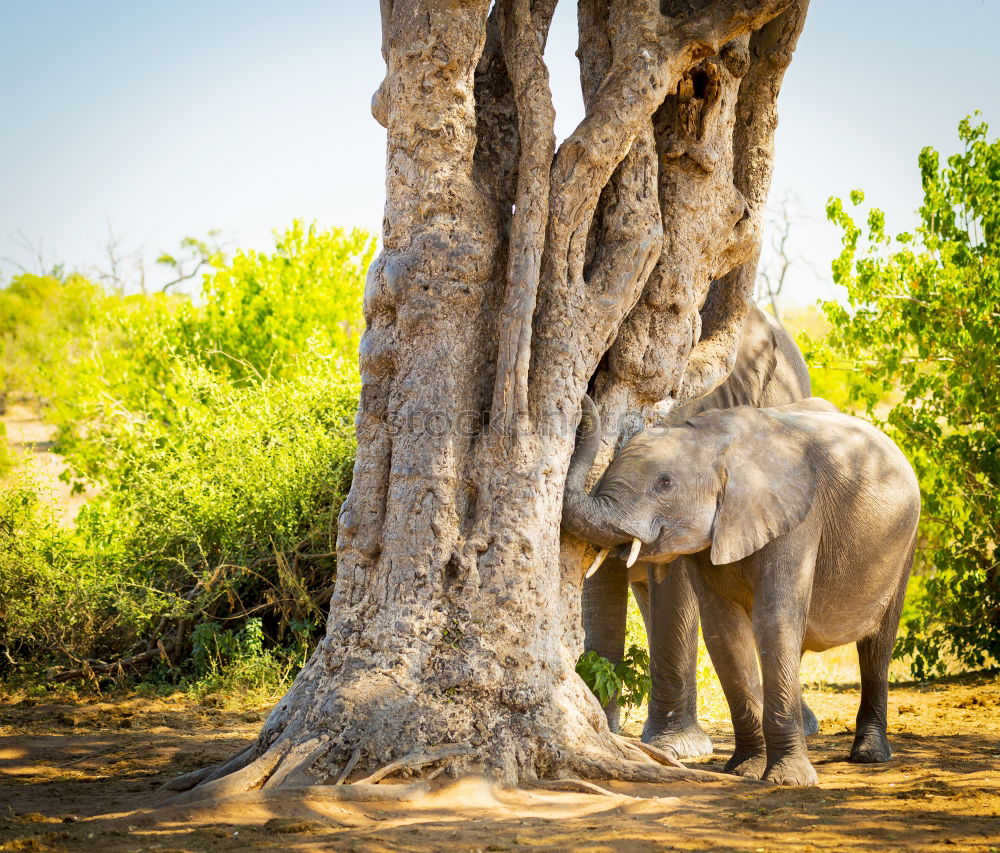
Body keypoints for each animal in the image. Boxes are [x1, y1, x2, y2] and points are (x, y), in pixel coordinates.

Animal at [564, 398, 920, 784]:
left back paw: (870, 755)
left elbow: (774, 620)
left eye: (664, 484)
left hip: (904, 543)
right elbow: (724, 632)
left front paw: (787, 781)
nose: (585, 403)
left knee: (877, 646)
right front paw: (746, 770)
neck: (714, 441)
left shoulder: (798, 519)